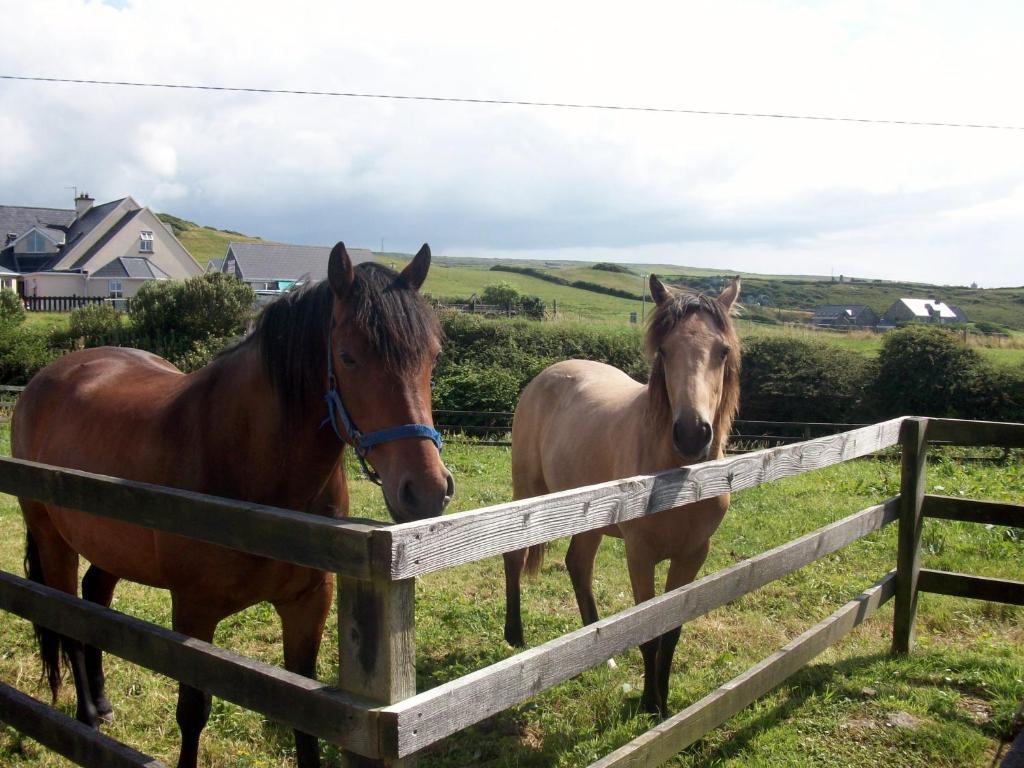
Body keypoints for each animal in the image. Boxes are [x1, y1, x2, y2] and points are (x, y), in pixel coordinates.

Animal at [11, 244, 452, 768]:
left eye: (432, 356)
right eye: (348, 357)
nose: (427, 489)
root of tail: (49, 376)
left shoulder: (308, 604)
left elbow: (306, 713)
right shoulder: (194, 614)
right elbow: (193, 711)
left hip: (109, 544)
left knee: (95, 600)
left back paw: (101, 703)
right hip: (52, 539)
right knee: (68, 621)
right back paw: (87, 719)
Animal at [501, 278, 737, 720]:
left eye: (723, 351)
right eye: (664, 350)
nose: (692, 434)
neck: (677, 477)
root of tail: (548, 374)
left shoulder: (693, 555)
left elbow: (671, 632)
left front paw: (663, 705)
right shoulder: (639, 555)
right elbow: (648, 633)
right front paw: (649, 704)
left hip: (589, 519)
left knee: (578, 565)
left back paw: (601, 654)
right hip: (528, 493)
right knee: (515, 557)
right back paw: (515, 636)